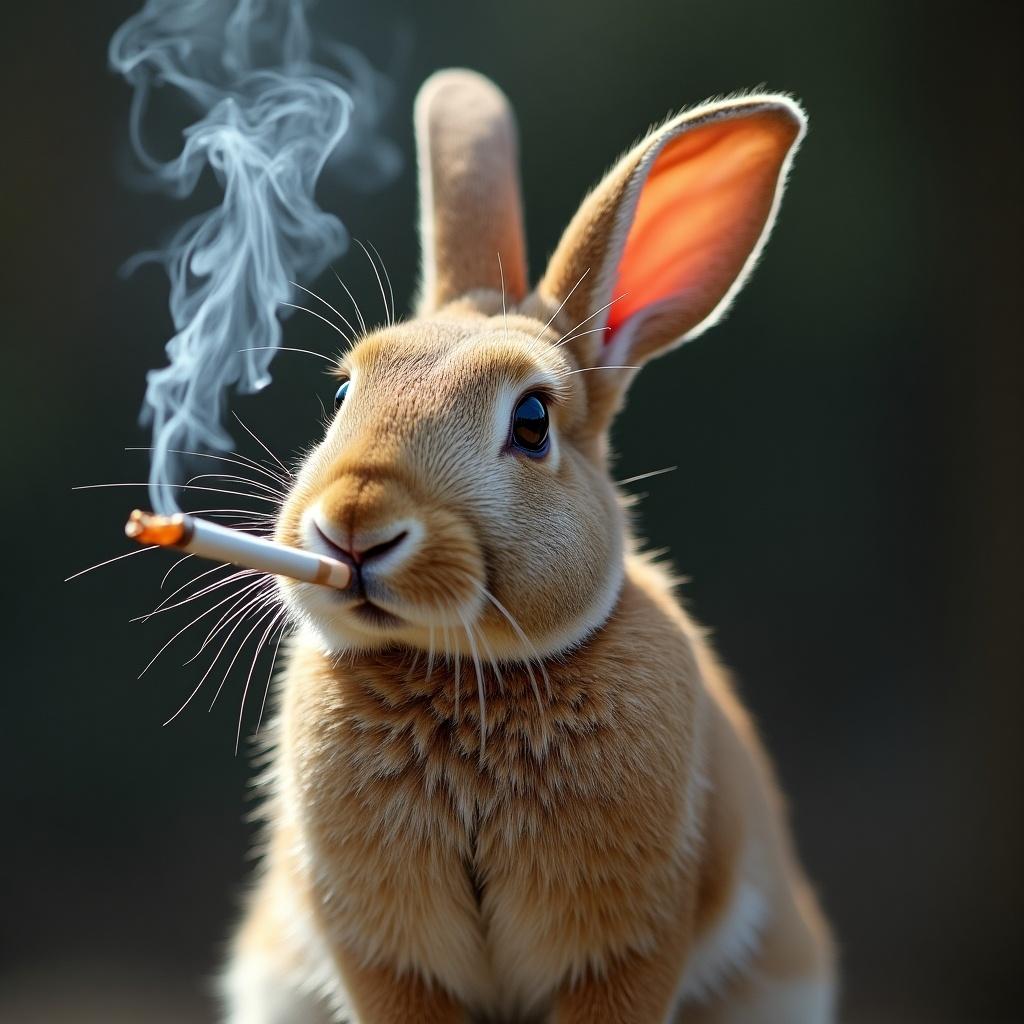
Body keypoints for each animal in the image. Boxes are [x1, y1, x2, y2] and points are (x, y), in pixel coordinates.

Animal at [220, 68, 835, 1019]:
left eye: (533, 421)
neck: (460, 672)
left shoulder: (624, 951)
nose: (354, 522)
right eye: (344, 395)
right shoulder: (388, 958)